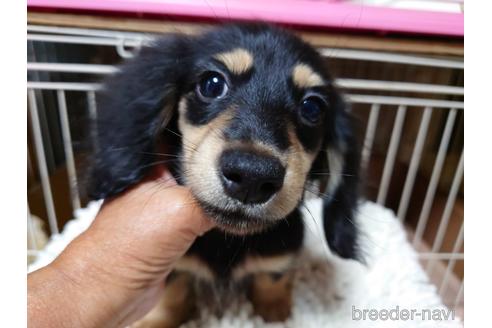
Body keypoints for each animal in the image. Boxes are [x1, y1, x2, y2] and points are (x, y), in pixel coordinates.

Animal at [88, 23, 360, 328]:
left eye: (312, 107)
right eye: (212, 84)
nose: (252, 177)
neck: (226, 240)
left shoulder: (279, 256)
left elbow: (272, 283)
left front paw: (276, 311)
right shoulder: (175, 268)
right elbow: (172, 295)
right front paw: (156, 319)